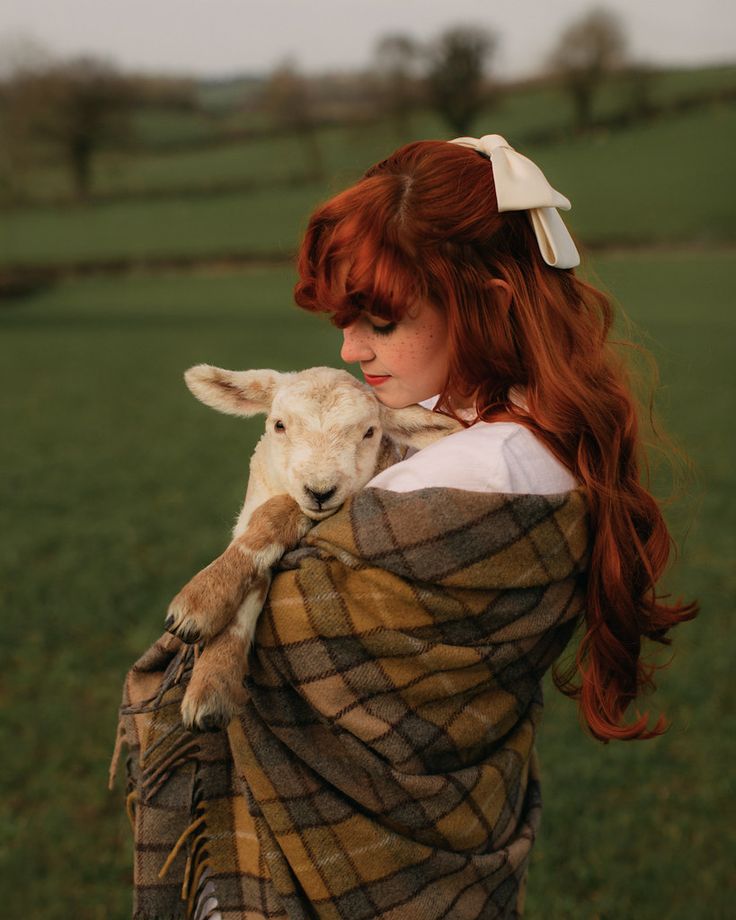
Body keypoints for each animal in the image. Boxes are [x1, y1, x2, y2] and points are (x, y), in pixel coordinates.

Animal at [165, 362, 460, 728]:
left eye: (369, 432)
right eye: (279, 425)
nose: (320, 491)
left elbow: (275, 515)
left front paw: (198, 615)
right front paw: (212, 673)